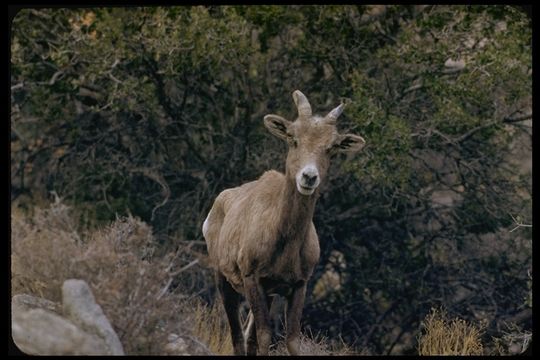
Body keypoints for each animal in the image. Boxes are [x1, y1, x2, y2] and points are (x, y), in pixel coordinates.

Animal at [202, 90, 368, 354]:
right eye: (293, 138)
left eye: (332, 147)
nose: (309, 177)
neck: (283, 245)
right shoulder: (252, 278)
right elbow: (264, 336)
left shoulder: (298, 285)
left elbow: (291, 340)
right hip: (223, 279)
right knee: (237, 336)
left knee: (246, 337)